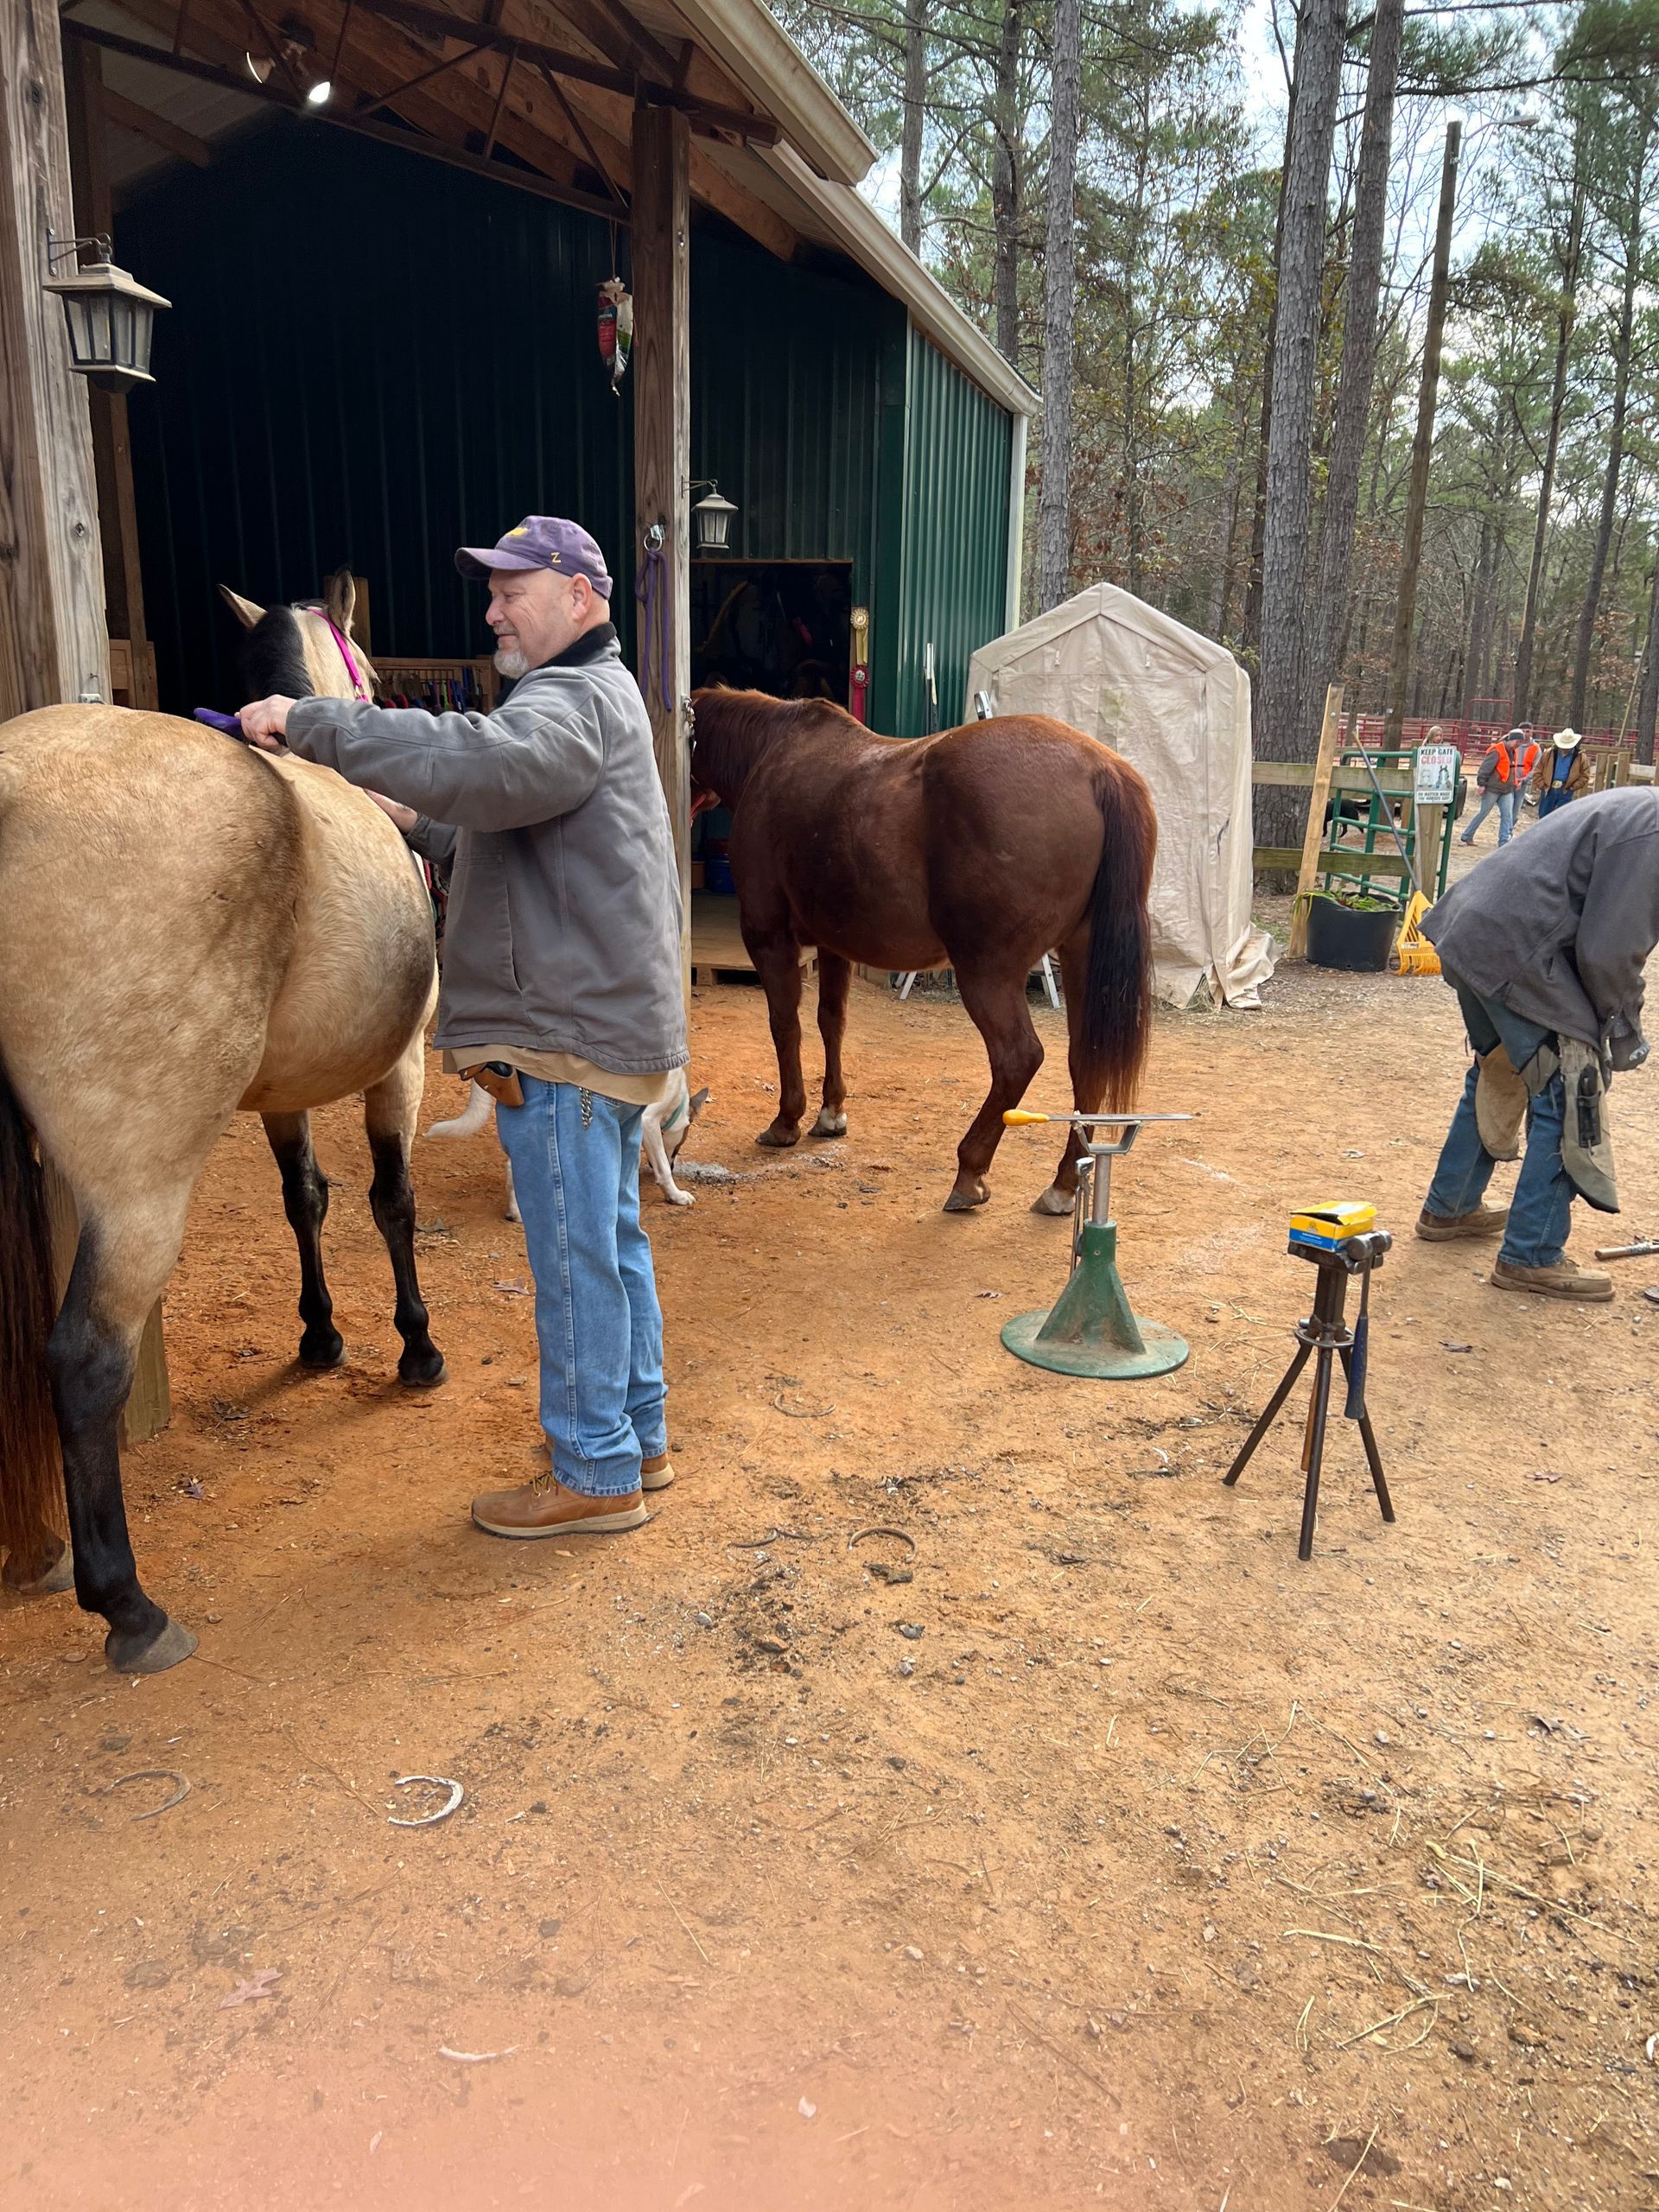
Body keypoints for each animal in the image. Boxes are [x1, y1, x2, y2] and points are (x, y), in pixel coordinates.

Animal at [0, 568, 443, 1675]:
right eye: (371, 671)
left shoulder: (281, 1099)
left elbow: (306, 1202)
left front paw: (321, 1335)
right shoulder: (402, 1068)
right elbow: (391, 1201)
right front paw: (416, 1349)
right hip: (139, 1186)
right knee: (85, 1361)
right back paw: (127, 1606)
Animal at [687, 689, 1157, 1213]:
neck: (770, 753)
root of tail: (1101, 770)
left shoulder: (768, 938)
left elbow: (785, 1025)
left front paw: (786, 1121)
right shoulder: (834, 944)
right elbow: (832, 1021)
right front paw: (831, 1114)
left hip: (986, 970)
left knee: (1018, 1058)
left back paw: (970, 1172)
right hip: (1080, 957)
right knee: (1084, 1060)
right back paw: (1063, 1185)